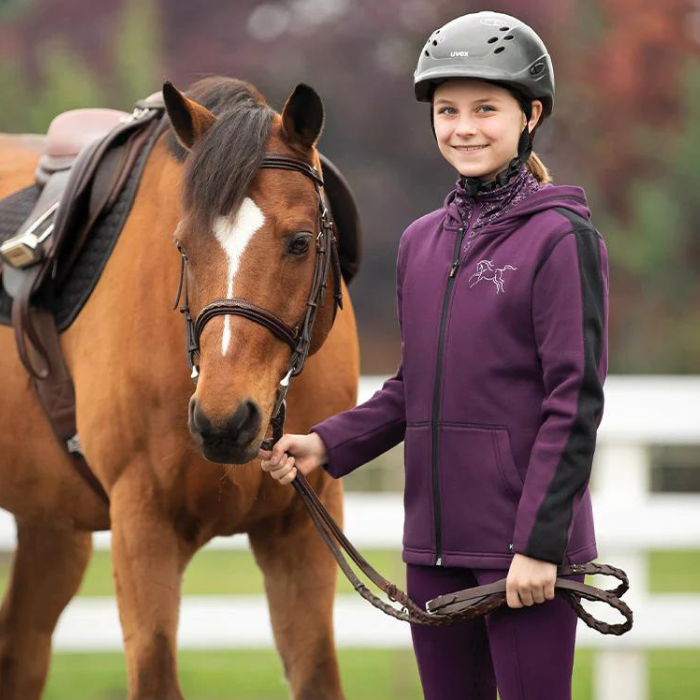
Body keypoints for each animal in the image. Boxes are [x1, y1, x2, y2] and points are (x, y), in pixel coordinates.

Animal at [0, 77, 361, 700]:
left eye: (300, 242)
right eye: (183, 245)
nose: (224, 421)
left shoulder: (300, 529)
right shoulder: (142, 527)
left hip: (51, 526)